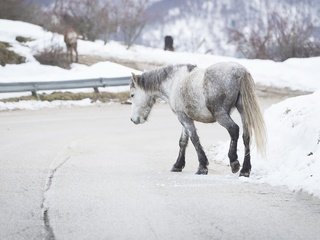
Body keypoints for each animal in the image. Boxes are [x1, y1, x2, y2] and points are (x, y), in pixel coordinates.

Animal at [129, 62, 266, 177]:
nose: (133, 119)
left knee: (234, 130)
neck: (173, 82)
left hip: (221, 115)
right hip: (243, 111)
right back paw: (245, 170)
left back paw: (234, 162)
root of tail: (240, 71)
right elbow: (183, 141)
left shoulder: (183, 118)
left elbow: (194, 139)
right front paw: (177, 165)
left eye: (132, 95)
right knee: (246, 136)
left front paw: (202, 167)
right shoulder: (185, 118)